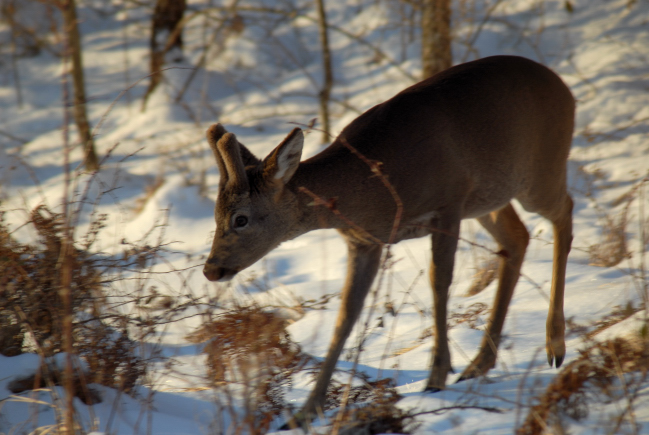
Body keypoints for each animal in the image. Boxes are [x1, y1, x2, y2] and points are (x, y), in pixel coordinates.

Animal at [201, 55, 572, 418]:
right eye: (214, 216)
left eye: (240, 219)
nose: (211, 269)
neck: (373, 190)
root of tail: (563, 85)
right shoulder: (365, 241)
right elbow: (346, 314)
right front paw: (307, 411)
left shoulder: (448, 202)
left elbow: (439, 282)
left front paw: (437, 375)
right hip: (489, 199)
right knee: (517, 238)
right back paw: (479, 364)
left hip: (539, 171)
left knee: (564, 212)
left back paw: (555, 346)